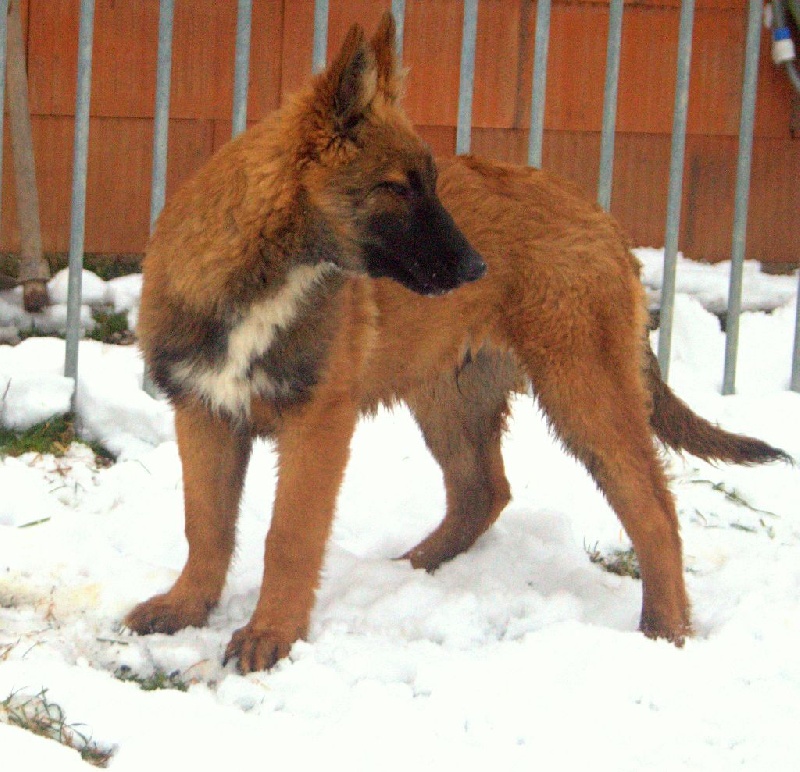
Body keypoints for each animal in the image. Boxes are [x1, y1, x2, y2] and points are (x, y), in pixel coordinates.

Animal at [126, 13, 788, 676]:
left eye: (433, 186)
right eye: (399, 188)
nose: (476, 269)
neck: (266, 273)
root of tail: (602, 218)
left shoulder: (317, 426)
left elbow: (288, 536)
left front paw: (271, 634)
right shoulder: (204, 413)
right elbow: (206, 526)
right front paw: (187, 607)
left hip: (583, 394)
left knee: (653, 509)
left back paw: (667, 631)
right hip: (450, 397)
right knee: (483, 491)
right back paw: (408, 573)